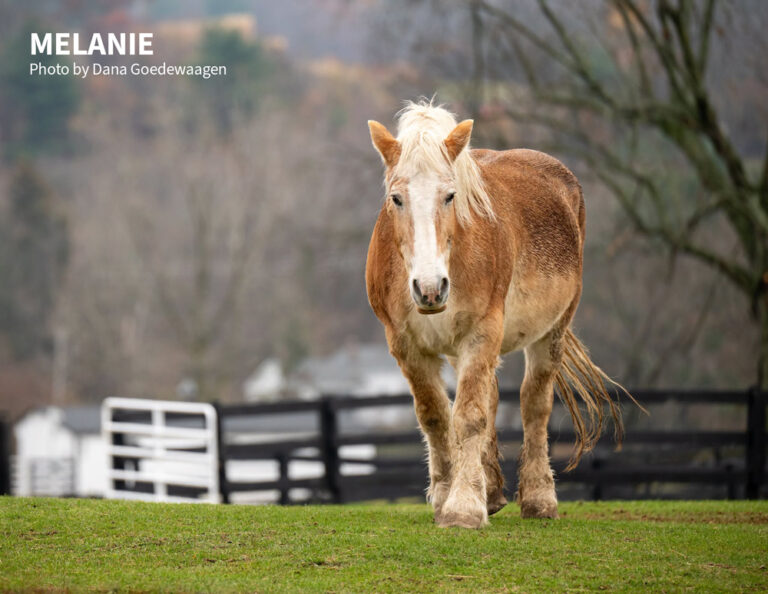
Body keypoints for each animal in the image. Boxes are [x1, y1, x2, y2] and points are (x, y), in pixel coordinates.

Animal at [365, 101, 630, 529]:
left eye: (450, 195)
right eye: (396, 198)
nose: (430, 288)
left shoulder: (482, 332)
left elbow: (469, 417)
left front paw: (463, 508)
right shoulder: (405, 345)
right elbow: (436, 416)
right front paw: (448, 496)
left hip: (552, 331)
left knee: (534, 404)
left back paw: (538, 499)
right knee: (488, 399)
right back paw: (490, 492)